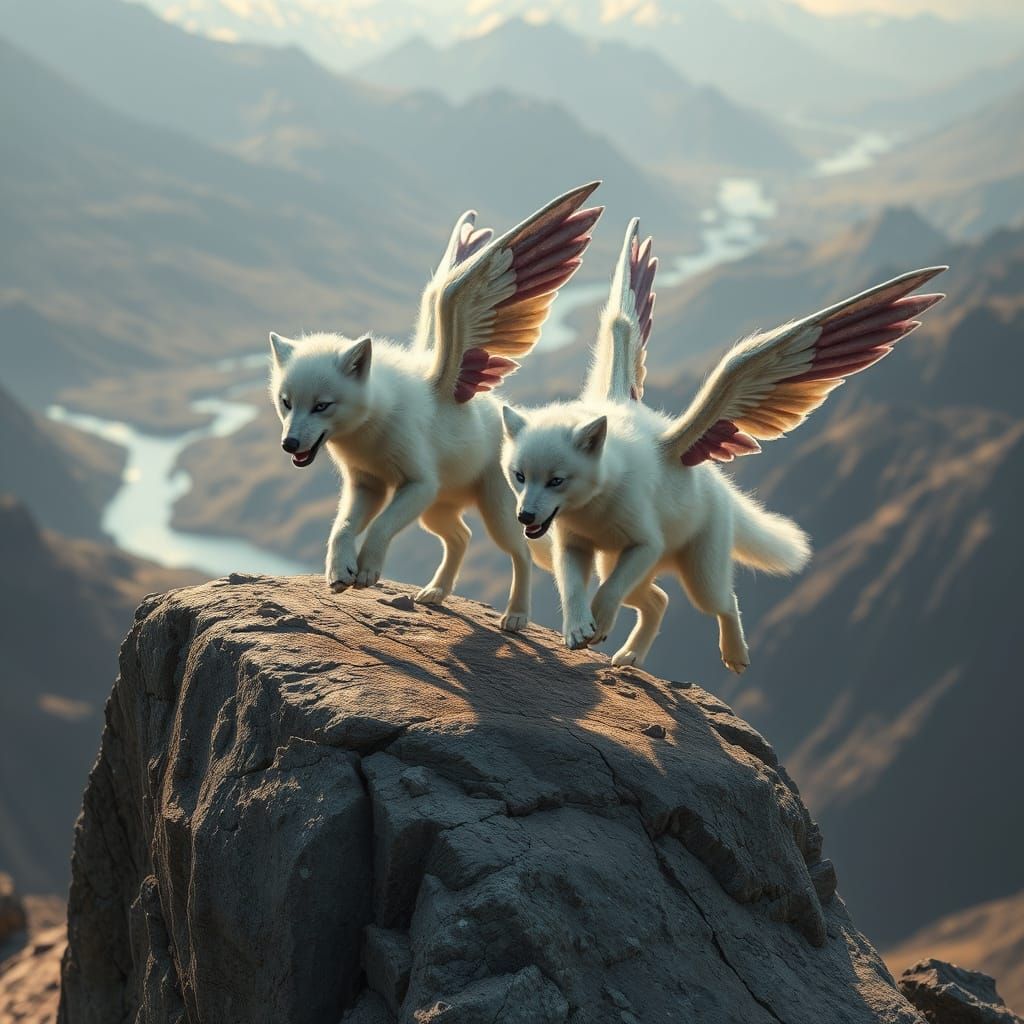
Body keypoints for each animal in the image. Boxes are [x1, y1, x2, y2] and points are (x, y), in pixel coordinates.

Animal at [268, 183, 602, 630]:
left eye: (322, 405)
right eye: (286, 403)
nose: (289, 445)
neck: (373, 428)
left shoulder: (417, 483)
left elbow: (380, 527)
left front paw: (367, 570)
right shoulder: (368, 484)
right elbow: (342, 527)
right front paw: (340, 572)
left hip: (501, 510)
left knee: (521, 553)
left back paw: (515, 616)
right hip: (437, 510)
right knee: (462, 538)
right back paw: (436, 593)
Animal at [501, 219, 946, 670]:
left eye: (557, 480)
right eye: (519, 476)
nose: (524, 516)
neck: (597, 500)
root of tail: (722, 489)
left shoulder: (644, 543)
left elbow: (607, 592)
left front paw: (600, 622)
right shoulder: (575, 545)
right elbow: (573, 588)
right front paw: (579, 628)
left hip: (698, 571)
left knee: (722, 601)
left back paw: (735, 653)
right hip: (622, 560)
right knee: (658, 600)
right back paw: (630, 656)